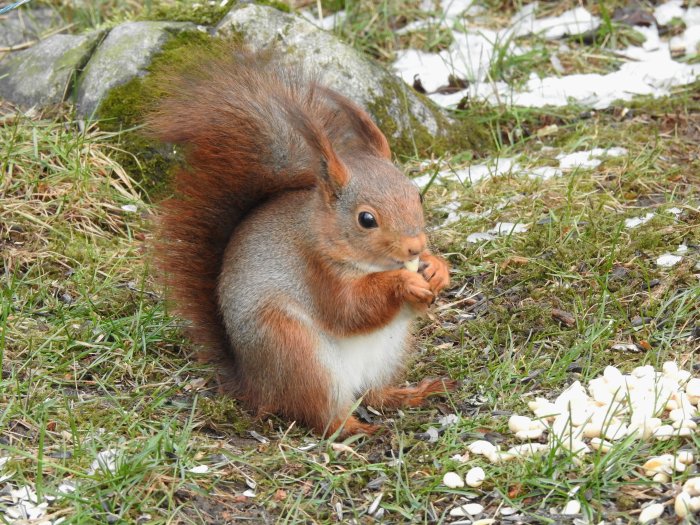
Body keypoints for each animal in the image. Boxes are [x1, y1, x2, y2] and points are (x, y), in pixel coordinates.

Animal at [148, 49, 454, 436]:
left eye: (418, 195)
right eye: (366, 219)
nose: (415, 247)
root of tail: (255, 385)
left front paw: (437, 269)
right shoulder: (315, 271)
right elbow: (349, 309)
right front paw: (402, 281)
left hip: (388, 353)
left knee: (374, 394)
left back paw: (409, 394)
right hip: (297, 353)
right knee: (322, 415)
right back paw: (355, 428)